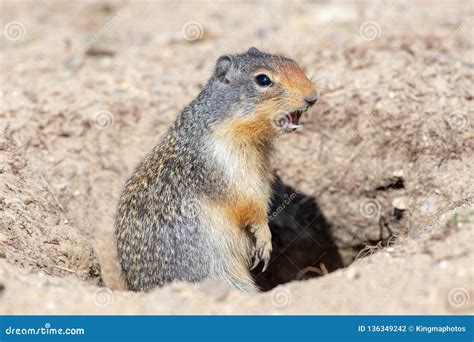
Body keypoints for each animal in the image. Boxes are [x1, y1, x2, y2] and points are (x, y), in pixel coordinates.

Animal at [115, 47, 318, 294]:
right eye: (263, 79)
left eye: (292, 61)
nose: (313, 96)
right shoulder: (224, 171)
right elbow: (250, 207)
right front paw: (264, 239)